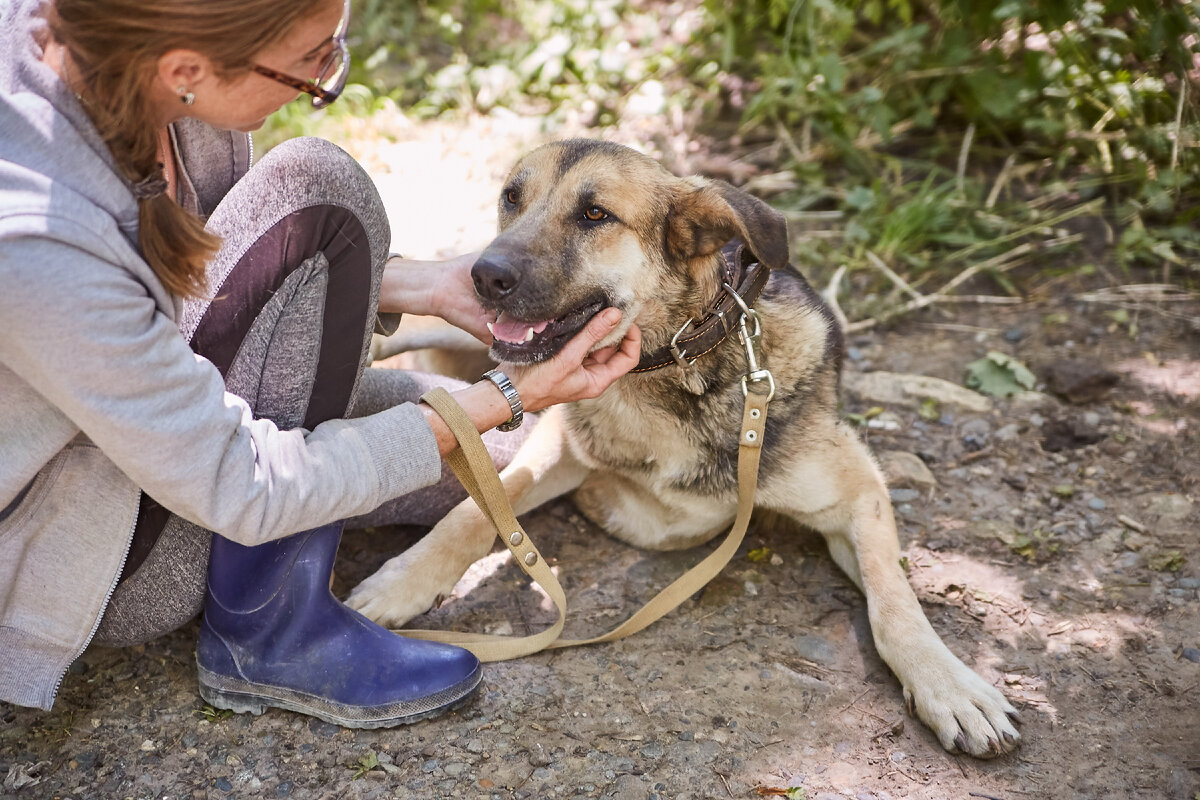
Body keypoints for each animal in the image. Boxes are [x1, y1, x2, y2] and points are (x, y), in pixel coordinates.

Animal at [343, 137, 1017, 758]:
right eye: (512, 197)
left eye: (595, 215)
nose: (486, 275)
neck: (672, 363)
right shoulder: (559, 442)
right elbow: (471, 512)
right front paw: (401, 582)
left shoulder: (858, 494)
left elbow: (894, 596)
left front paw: (950, 687)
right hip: (460, 327)